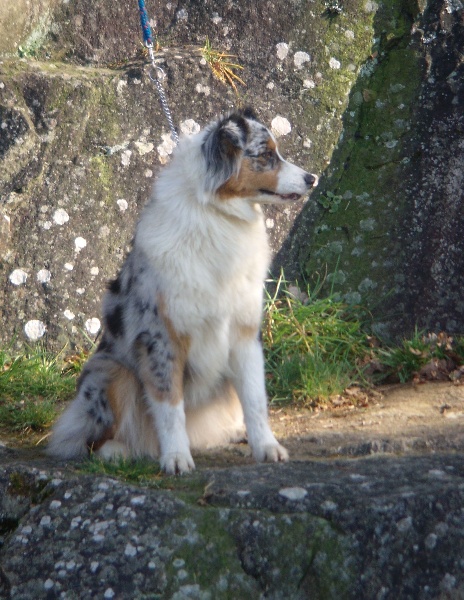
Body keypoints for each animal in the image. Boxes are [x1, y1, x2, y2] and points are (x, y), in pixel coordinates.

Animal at [47, 108, 318, 474]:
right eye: (265, 155)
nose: (311, 178)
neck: (217, 216)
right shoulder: (162, 336)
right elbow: (169, 405)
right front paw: (176, 457)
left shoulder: (244, 333)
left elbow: (255, 400)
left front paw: (266, 447)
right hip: (108, 372)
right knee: (92, 437)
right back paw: (119, 451)